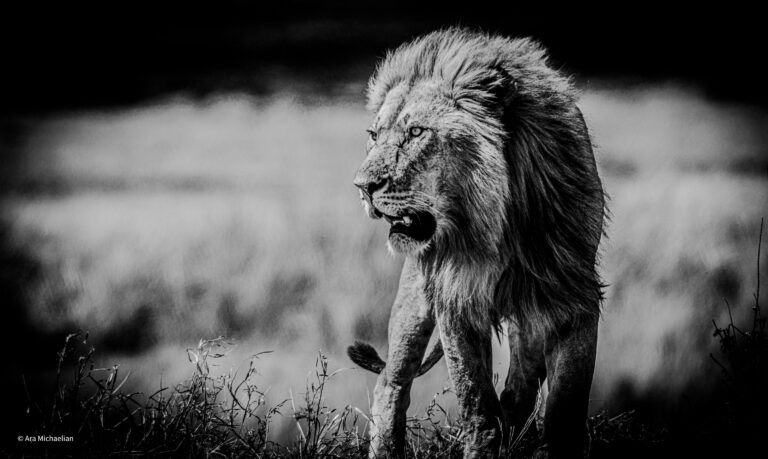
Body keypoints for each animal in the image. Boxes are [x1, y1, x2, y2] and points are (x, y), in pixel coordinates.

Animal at [349, 28, 605, 458]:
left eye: (416, 132)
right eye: (373, 136)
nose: (363, 187)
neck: (499, 223)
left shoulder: (572, 294)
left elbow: (566, 399)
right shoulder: (455, 296)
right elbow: (476, 401)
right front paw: (484, 444)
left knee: (520, 383)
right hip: (415, 301)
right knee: (392, 382)